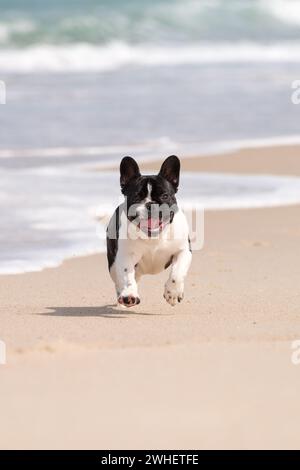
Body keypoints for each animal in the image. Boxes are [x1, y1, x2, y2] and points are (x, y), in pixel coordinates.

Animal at [106, 155, 192, 308]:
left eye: (165, 196)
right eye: (136, 197)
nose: (151, 204)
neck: (154, 237)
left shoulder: (183, 251)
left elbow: (177, 273)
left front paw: (173, 293)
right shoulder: (125, 256)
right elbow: (126, 275)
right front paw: (129, 295)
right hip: (113, 263)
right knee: (119, 278)